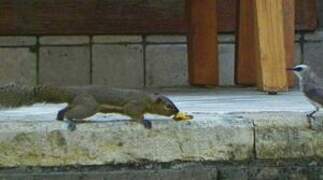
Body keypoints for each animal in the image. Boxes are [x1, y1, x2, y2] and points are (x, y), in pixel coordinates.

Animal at [0, 82, 180, 130]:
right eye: (168, 106)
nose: (177, 111)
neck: (147, 99)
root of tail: (74, 91)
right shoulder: (134, 105)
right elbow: (134, 114)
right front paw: (144, 121)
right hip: (88, 106)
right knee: (70, 113)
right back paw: (70, 122)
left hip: (80, 103)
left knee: (64, 109)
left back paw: (60, 117)